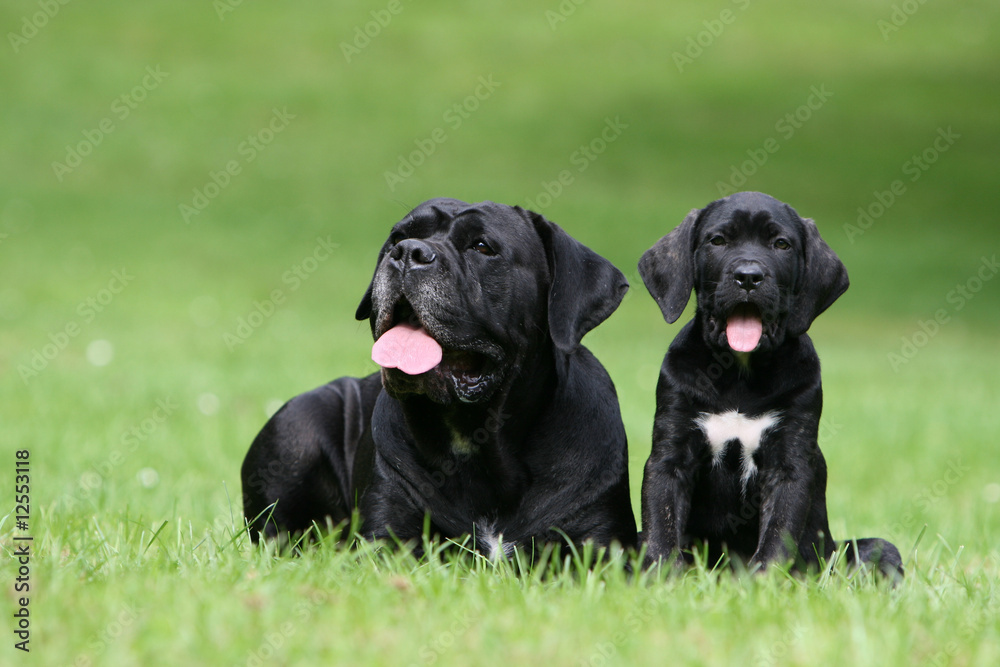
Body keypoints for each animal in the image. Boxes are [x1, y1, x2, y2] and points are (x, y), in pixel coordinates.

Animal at [240, 198, 640, 560]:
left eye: (482, 247)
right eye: (398, 237)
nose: (407, 252)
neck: (471, 436)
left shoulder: (598, 548)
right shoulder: (388, 541)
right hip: (295, 427)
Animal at [640, 193, 908, 580]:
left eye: (781, 244)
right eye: (717, 241)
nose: (748, 277)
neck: (739, 374)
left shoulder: (789, 464)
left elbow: (779, 535)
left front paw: (762, 584)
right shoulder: (669, 456)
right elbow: (661, 528)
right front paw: (663, 580)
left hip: (862, 549)